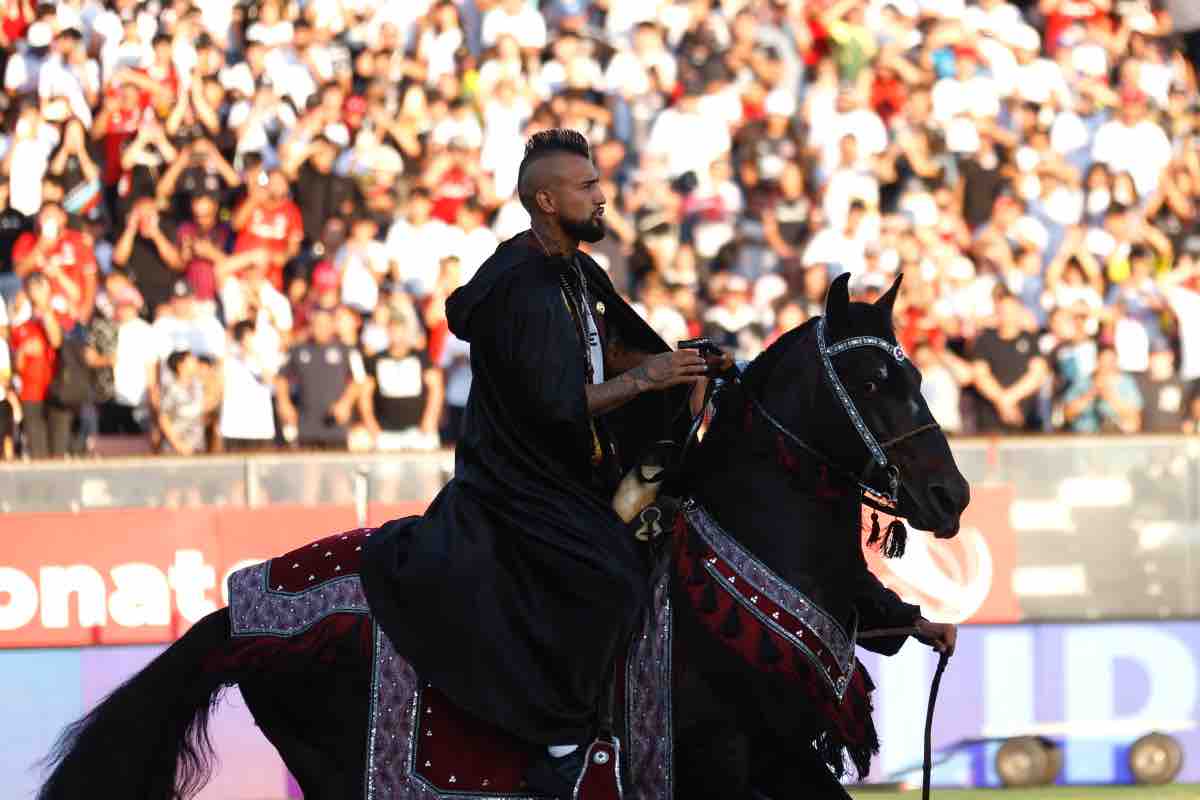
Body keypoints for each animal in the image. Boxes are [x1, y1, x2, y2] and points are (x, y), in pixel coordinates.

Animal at [37, 272, 969, 796]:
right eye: (873, 379)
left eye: (916, 375)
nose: (950, 495)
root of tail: (239, 606)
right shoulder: (741, 759)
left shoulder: (775, 758)